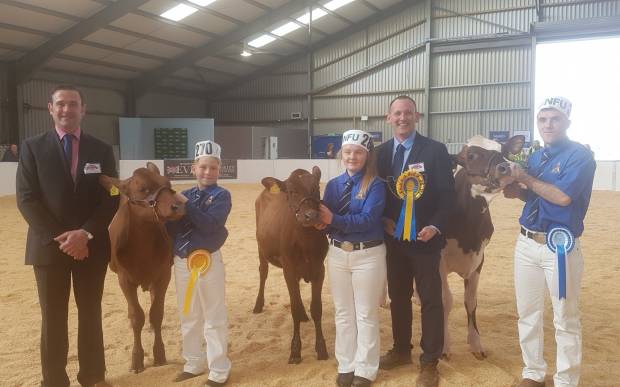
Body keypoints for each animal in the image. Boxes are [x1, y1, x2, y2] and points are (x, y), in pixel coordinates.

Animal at [100, 163, 184, 372]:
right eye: (142, 189)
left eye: (168, 183)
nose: (178, 205)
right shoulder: (124, 279)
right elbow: (136, 316)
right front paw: (136, 359)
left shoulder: (163, 275)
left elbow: (156, 313)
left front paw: (159, 354)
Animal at [440, 136, 524, 360]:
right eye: (471, 155)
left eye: (503, 151)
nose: (506, 167)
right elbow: (445, 301)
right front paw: (444, 346)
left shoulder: (478, 259)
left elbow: (471, 301)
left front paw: (476, 343)